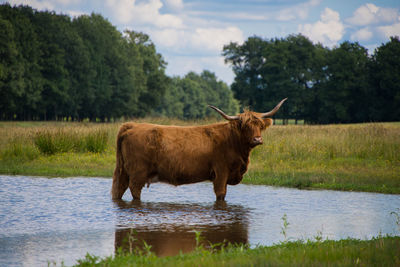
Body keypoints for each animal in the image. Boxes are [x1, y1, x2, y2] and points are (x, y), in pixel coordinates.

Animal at [111, 99, 286, 202]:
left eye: (259, 126)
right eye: (245, 126)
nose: (257, 139)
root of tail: (132, 125)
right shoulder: (221, 171)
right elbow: (220, 194)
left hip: (125, 170)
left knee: (120, 188)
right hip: (138, 171)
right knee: (134, 189)